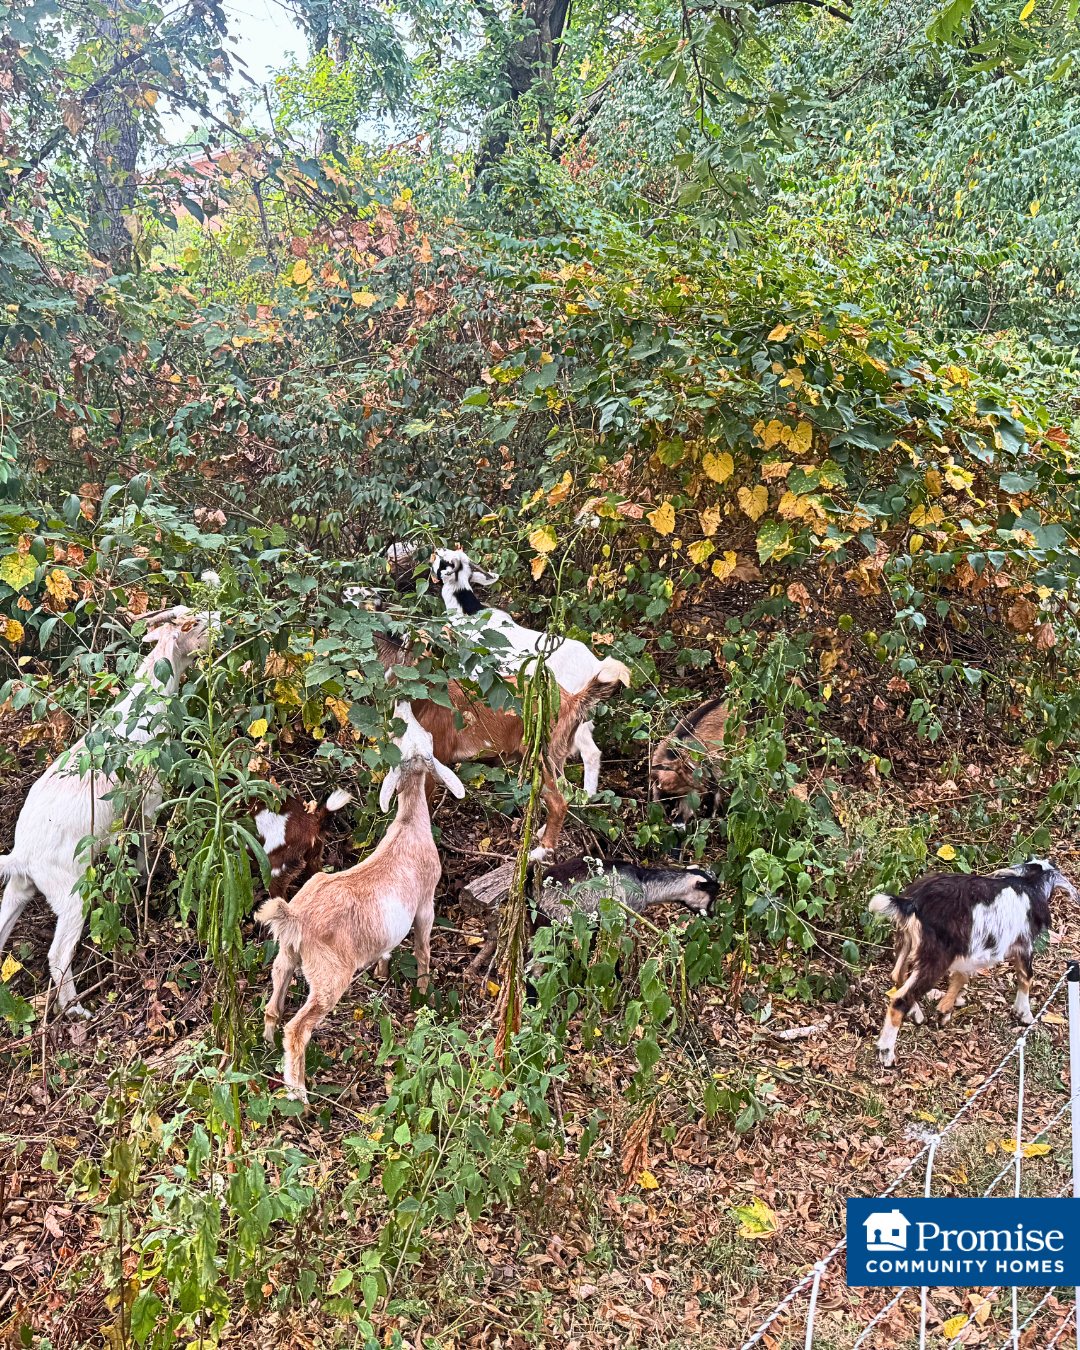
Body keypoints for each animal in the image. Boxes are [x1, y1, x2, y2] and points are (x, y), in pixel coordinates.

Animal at [0, 607, 214, 1014]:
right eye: (194, 623)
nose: (221, 616)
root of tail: (22, 854)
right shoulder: (149, 793)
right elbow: (145, 835)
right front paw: (145, 876)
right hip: (70, 892)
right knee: (57, 954)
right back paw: (75, 1008)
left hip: (21, 887)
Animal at [257, 702, 465, 1103]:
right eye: (423, 736)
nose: (403, 705)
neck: (409, 824)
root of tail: (295, 918)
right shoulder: (425, 902)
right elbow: (422, 948)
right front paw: (423, 993)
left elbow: (389, 947)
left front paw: (382, 970)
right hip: (329, 977)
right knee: (298, 1028)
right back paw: (299, 1094)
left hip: (286, 956)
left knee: (274, 1004)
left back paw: (269, 1049)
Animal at [374, 631, 623, 858]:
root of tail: (571, 700)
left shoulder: (431, 765)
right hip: (556, 757)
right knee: (567, 794)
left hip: (539, 758)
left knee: (558, 801)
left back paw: (540, 852)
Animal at [430, 548, 631, 796]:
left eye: (444, 561)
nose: (437, 550)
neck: (468, 613)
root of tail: (594, 664)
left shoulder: (476, 676)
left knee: (590, 752)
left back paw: (587, 795)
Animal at [869, 858, 1076, 1067]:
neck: (1029, 884)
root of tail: (912, 903)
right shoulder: (1023, 945)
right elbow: (1026, 977)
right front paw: (1024, 1014)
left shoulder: (968, 951)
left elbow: (961, 976)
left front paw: (944, 1010)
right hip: (937, 956)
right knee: (901, 998)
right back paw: (886, 1053)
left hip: (907, 941)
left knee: (898, 975)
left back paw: (916, 1014)